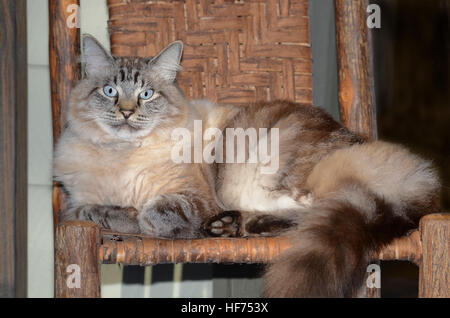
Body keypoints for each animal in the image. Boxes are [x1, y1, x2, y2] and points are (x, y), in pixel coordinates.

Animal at [53, 35, 440, 298]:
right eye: (110, 91)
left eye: (146, 95)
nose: (126, 113)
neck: (123, 154)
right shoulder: (76, 199)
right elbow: (86, 209)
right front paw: (103, 212)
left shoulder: (190, 199)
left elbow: (147, 215)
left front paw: (126, 215)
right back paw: (230, 226)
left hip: (272, 174)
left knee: (313, 210)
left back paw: (231, 226)